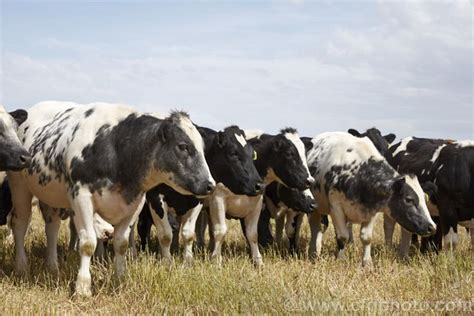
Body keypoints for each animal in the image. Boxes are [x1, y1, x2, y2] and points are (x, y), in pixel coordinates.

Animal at [8, 100, 215, 296]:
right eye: (183, 146)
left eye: (204, 148)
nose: (210, 184)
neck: (118, 147)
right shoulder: (81, 197)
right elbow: (88, 243)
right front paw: (83, 287)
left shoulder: (135, 204)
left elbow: (121, 243)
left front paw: (120, 279)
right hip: (20, 187)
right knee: (20, 224)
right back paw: (21, 266)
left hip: (50, 195)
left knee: (52, 229)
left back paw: (52, 266)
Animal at [306, 132, 436, 266]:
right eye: (409, 199)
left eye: (424, 199)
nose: (432, 227)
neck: (357, 171)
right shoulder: (336, 207)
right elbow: (342, 236)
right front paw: (341, 259)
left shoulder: (372, 210)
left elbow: (366, 238)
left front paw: (367, 263)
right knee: (316, 228)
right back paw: (314, 252)